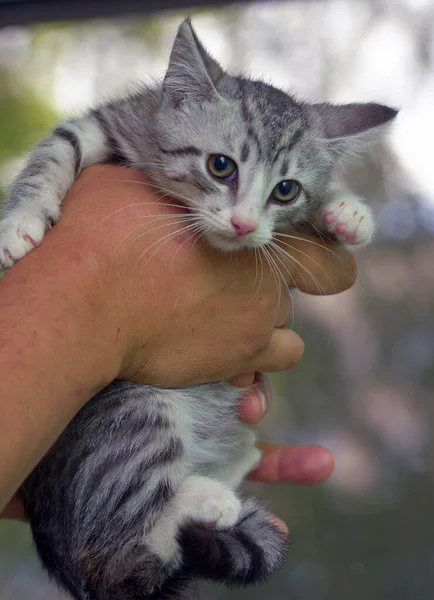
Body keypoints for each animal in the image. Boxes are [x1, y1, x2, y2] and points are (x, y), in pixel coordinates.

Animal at [0, 17, 396, 600]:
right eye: (220, 166)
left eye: (285, 190)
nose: (243, 224)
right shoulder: (111, 122)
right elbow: (56, 150)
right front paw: (21, 220)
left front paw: (346, 210)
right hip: (132, 406)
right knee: (126, 538)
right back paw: (204, 500)